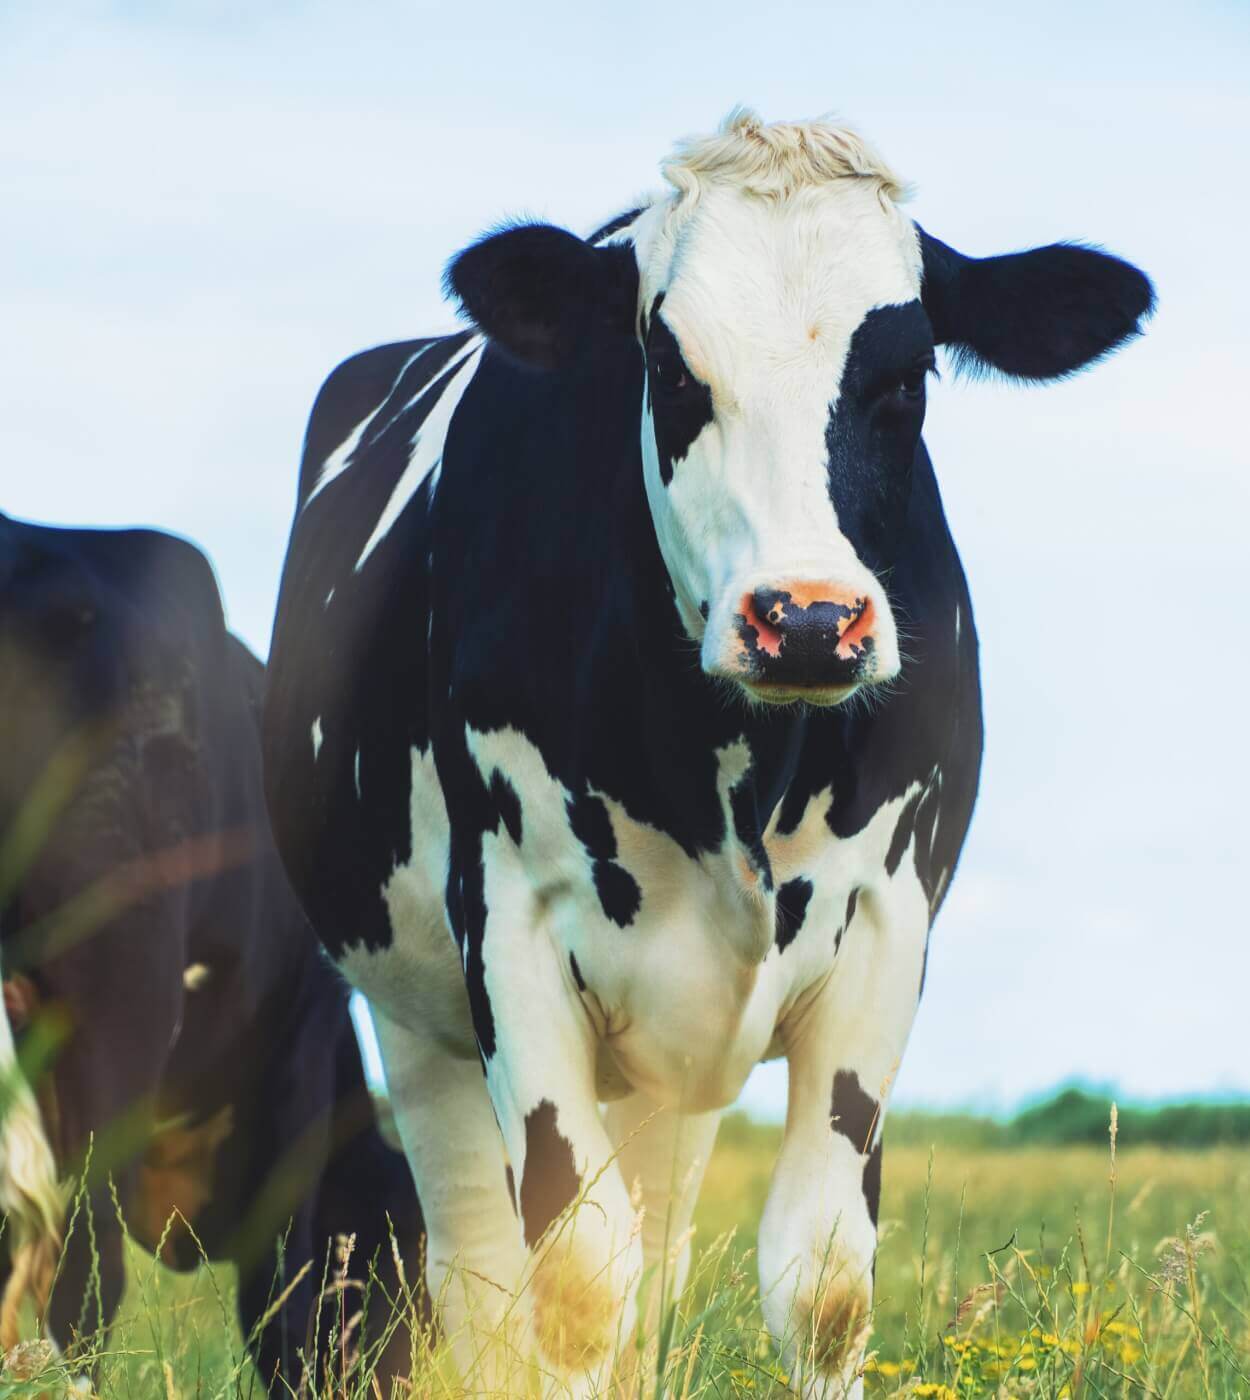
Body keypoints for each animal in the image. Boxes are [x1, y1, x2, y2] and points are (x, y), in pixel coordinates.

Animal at [0, 515, 422, 1388]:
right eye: (402, 1252)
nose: (405, 1375)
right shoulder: (299, 1053)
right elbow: (280, 1297)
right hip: (118, 982)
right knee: (87, 1273)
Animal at [263, 112, 1153, 1400]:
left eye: (907, 376)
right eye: (672, 368)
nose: (807, 618)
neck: (733, 768)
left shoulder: (886, 926)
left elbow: (820, 1282)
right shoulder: (509, 928)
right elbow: (577, 1280)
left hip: (664, 1074)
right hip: (414, 1014)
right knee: (482, 1276)